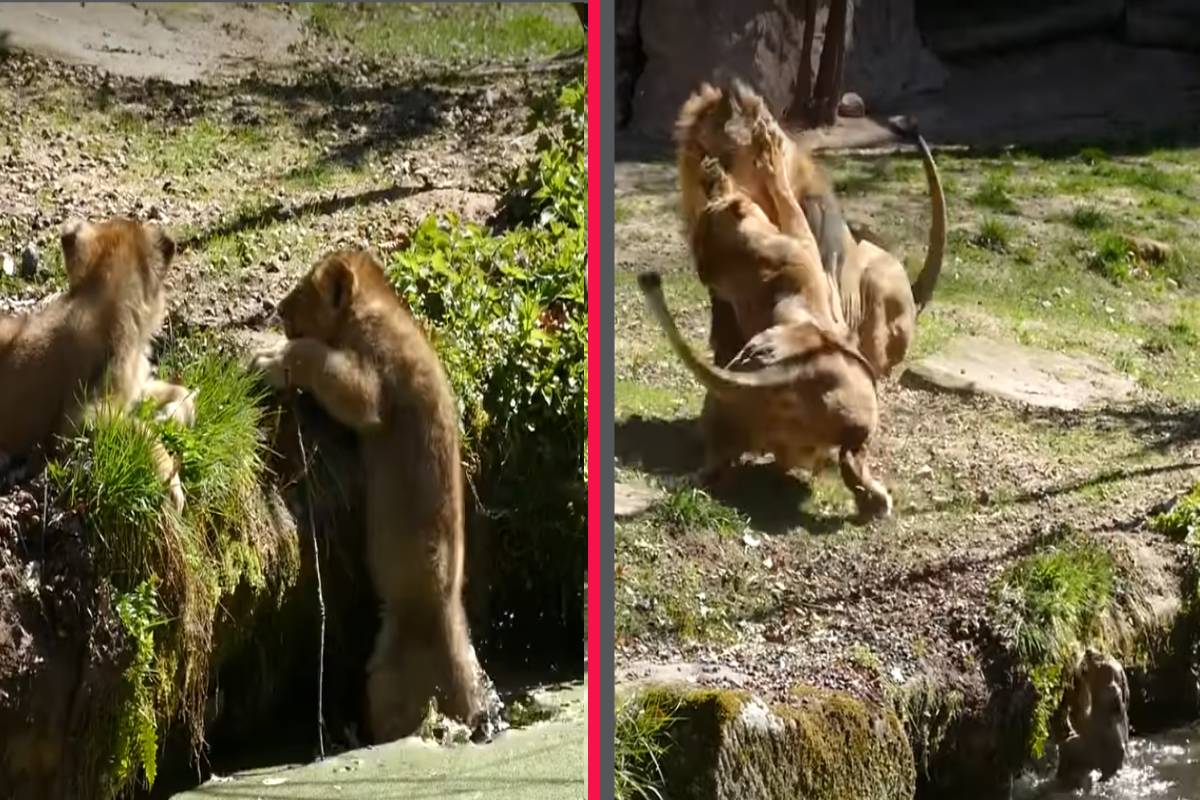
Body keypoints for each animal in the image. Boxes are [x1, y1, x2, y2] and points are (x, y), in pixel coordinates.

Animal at [0, 217, 196, 511]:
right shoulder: (79, 419)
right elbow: (140, 428)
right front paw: (171, 482)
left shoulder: (133, 386)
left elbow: (181, 392)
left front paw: (172, 415)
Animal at [250, 249, 485, 742]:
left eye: (301, 291)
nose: (277, 309)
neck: (383, 306)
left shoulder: (375, 377)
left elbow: (326, 367)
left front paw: (265, 358)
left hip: (388, 669)